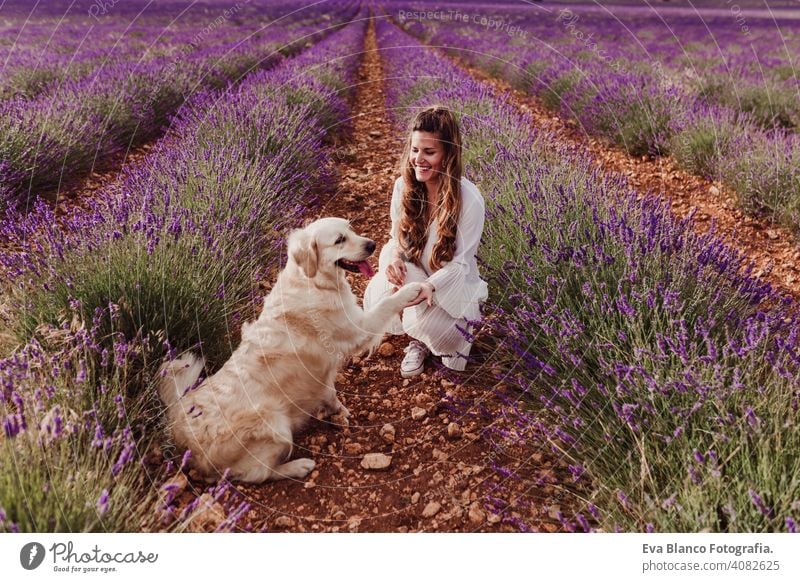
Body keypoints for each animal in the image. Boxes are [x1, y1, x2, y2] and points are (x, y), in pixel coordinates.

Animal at [155, 218, 424, 484]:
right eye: (339, 240)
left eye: (351, 229)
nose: (372, 244)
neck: (312, 281)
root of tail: (179, 422)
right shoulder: (357, 329)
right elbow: (386, 304)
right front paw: (412, 289)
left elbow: (329, 393)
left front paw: (337, 410)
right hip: (277, 426)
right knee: (259, 473)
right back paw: (298, 466)